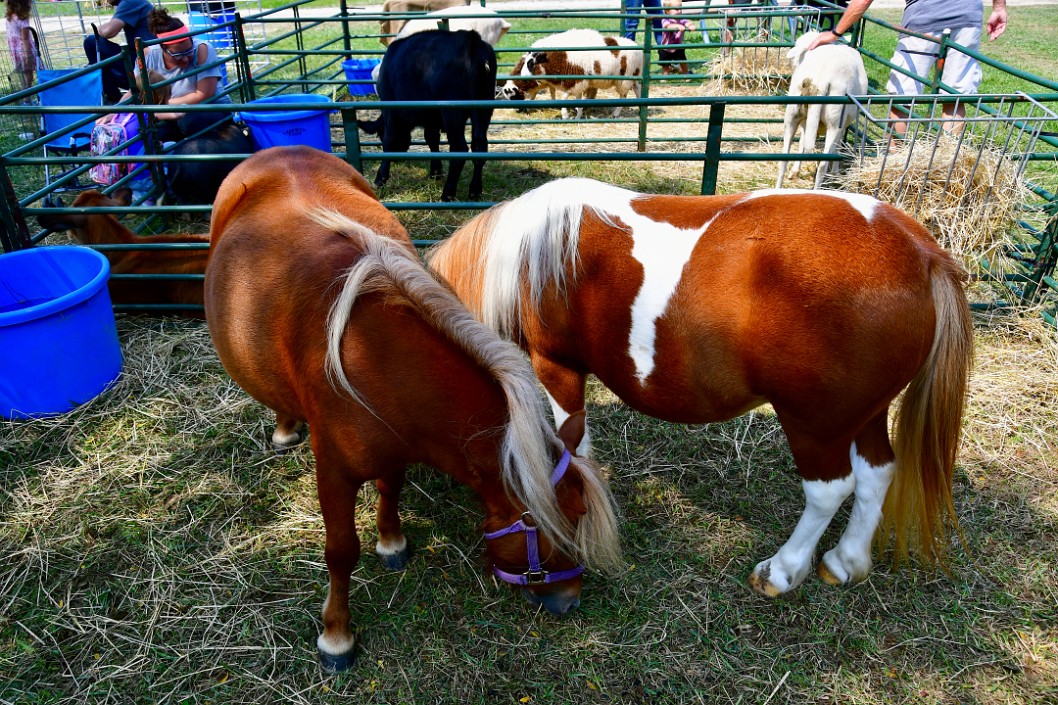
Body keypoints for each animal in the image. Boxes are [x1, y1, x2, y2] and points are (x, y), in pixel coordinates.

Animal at [202, 147, 622, 669]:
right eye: (558, 525)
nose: (571, 601)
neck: (377, 358)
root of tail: (277, 152)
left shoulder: (396, 448)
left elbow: (389, 490)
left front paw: (391, 542)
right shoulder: (334, 473)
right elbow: (341, 551)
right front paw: (336, 634)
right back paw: (284, 427)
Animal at [359, 30, 495, 200]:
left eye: (379, 134)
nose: (397, 160)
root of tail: (469, 38)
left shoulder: (391, 109)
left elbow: (389, 141)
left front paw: (380, 178)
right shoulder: (432, 117)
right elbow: (431, 138)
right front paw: (435, 171)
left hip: (453, 111)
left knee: (459, 148)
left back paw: (447, 193)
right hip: (484, 107)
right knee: (480, 145)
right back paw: (475, 190)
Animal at [427, 178, 973, 597]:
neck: (525, 255)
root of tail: (923, 252)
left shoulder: (556, 366)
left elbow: (572, 441)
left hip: (816, 424)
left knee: (829, 490)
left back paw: (783, 570)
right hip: (864, 415)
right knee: (877, 473)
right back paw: (846, 561)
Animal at [497, 28, 639, 118]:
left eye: (531, 63)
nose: (517, 110)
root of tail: (637, 47)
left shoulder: (576, 81)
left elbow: (564, 97)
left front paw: (567, 114)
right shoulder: (572, 82)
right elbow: (551, 94)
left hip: (625, 79)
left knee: (624, 96)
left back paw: (615, 113)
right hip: (634, 77)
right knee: (638, 90)